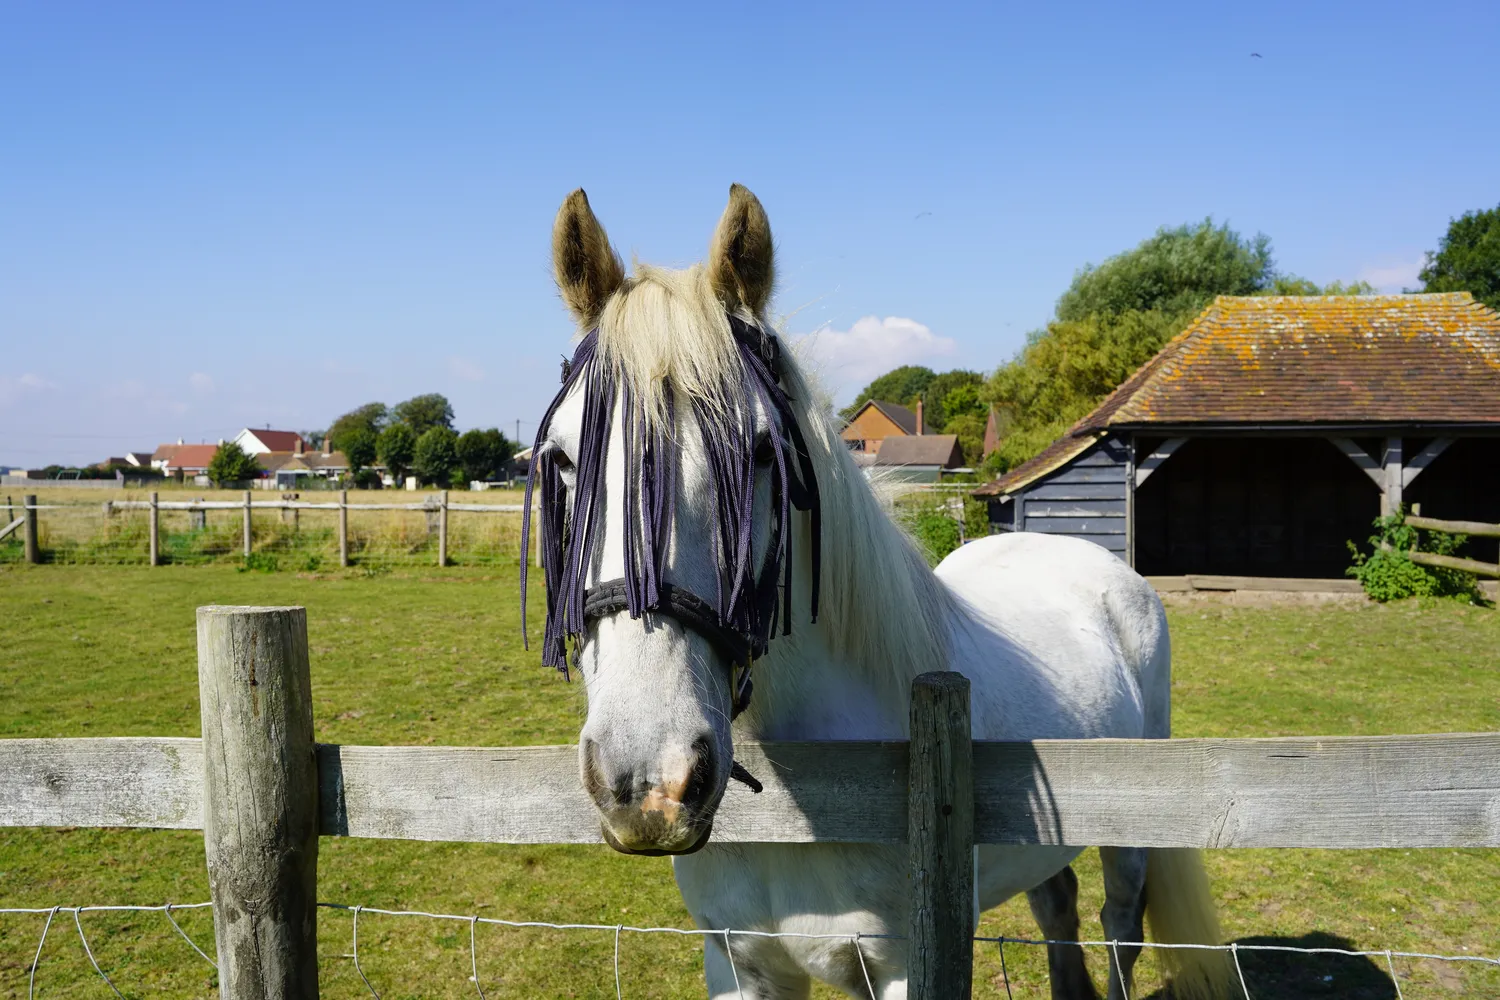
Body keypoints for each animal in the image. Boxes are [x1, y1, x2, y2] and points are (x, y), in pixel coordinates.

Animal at [521, 184, 1231, 1000]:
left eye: (761, 451)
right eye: (562, 458)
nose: (648, 781)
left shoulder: (903, 968)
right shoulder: (739, 963)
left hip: (1133, 829)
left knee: (1120, 928)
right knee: (1058, 905)